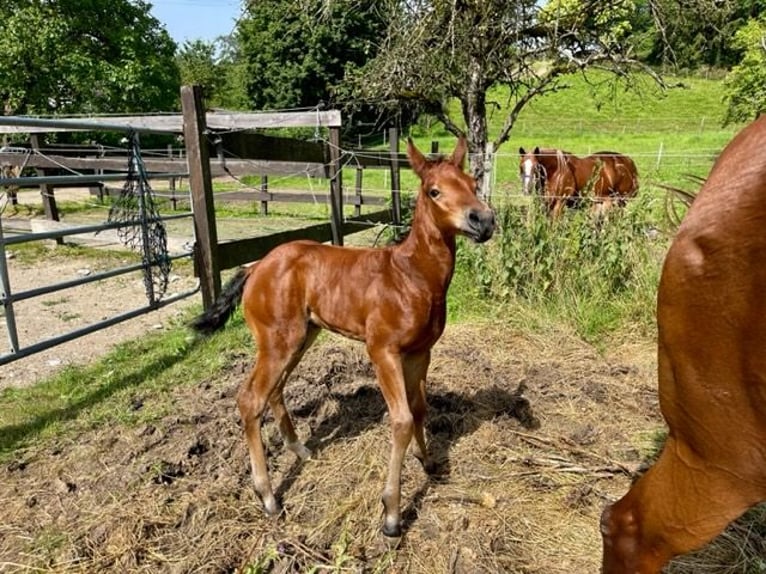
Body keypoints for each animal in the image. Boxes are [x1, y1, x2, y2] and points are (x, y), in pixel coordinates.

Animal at [192, 136, 498, 540]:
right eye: (434, 191)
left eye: (472, 184)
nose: (484, 220)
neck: (412, 277)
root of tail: (256, 266)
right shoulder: (382, 351)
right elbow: (401, 419)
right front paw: (391, 513)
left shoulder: (421, 352)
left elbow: (419, 408)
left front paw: (428, 461)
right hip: (277, 341)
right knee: (250, 399)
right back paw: (269, 497)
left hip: (300, 337)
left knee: (275, 390)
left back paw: (301, 450)